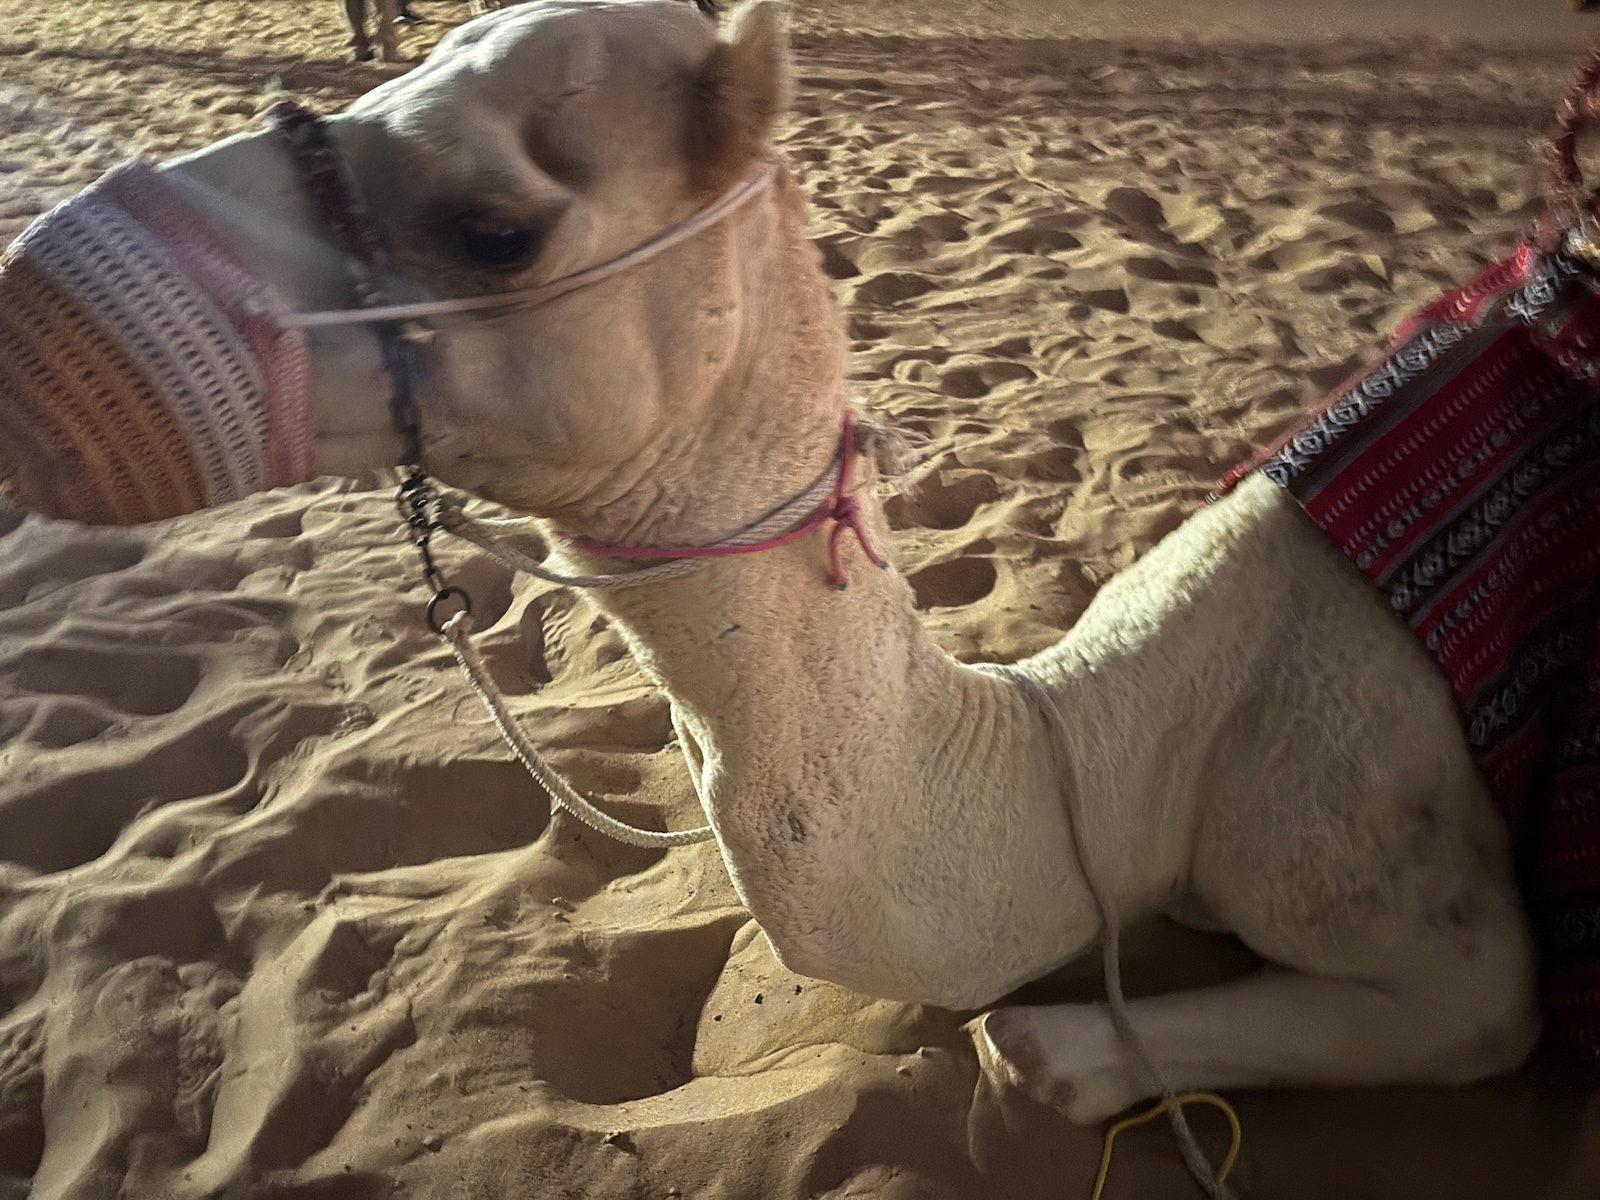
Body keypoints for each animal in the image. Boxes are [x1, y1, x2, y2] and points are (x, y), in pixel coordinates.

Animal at [99, 0, 1546, 1126]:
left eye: (493, 229)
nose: (80, 261)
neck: (1103, 754)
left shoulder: (1405, 888)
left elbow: (1053, 1042)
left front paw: (1057, 1049)